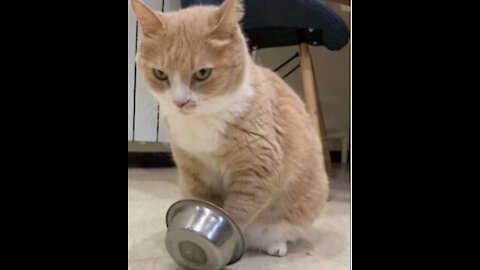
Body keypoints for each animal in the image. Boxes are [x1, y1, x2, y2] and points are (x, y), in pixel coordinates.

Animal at [130, 0, 330, 258]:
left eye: (202, 73)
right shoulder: (194, 171)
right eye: (160, 74)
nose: (179, 102)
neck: (203, 120)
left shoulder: (255, 169)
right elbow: (203, 200)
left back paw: (275, 245)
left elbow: (236, 212)